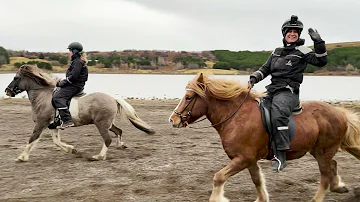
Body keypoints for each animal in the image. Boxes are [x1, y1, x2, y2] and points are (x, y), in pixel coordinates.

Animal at [4, 65, 155, 162]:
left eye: (16, 77)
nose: (7, 91)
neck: (43, 96)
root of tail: (113, 98)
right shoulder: (52, 126)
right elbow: (56, 142)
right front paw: (72, 150)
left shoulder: (41, 124)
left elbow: (32, 139)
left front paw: (22, 157)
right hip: (108, 123)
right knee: (118, 131)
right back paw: (120, 145)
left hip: (101, 124)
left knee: (108, 139)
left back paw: (98, 157)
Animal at [169, 73, 360, 202]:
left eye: (188, 97)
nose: (173, 120)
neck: (236, 116)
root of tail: (340, 113)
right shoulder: (249, 159)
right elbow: (257, 181)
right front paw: (262, 199)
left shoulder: (243, 158)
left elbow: (219, 177)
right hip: (318, 151)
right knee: (333, 165)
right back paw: (339, 187)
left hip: (322, 152)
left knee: (326, 175)